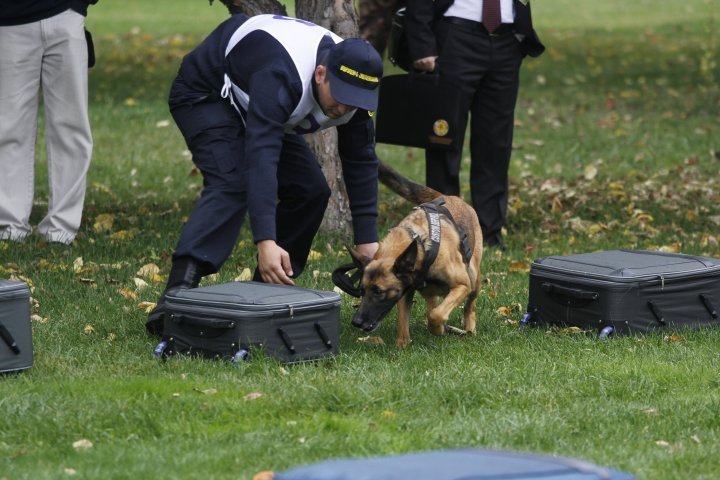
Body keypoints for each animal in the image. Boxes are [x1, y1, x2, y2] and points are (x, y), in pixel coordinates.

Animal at [348, 160, 484, 344]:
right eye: (361, 290)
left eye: (379, 292)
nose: (356, 322)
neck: (421, 245)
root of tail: (449, 196)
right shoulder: (405, 293)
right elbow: (405, 324)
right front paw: (403, 345)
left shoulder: (462, 285)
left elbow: (436, 315)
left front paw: (438, 329)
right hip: (433, 291)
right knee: (432, 304)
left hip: (474, 278)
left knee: (469, 305)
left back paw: (469, 328)